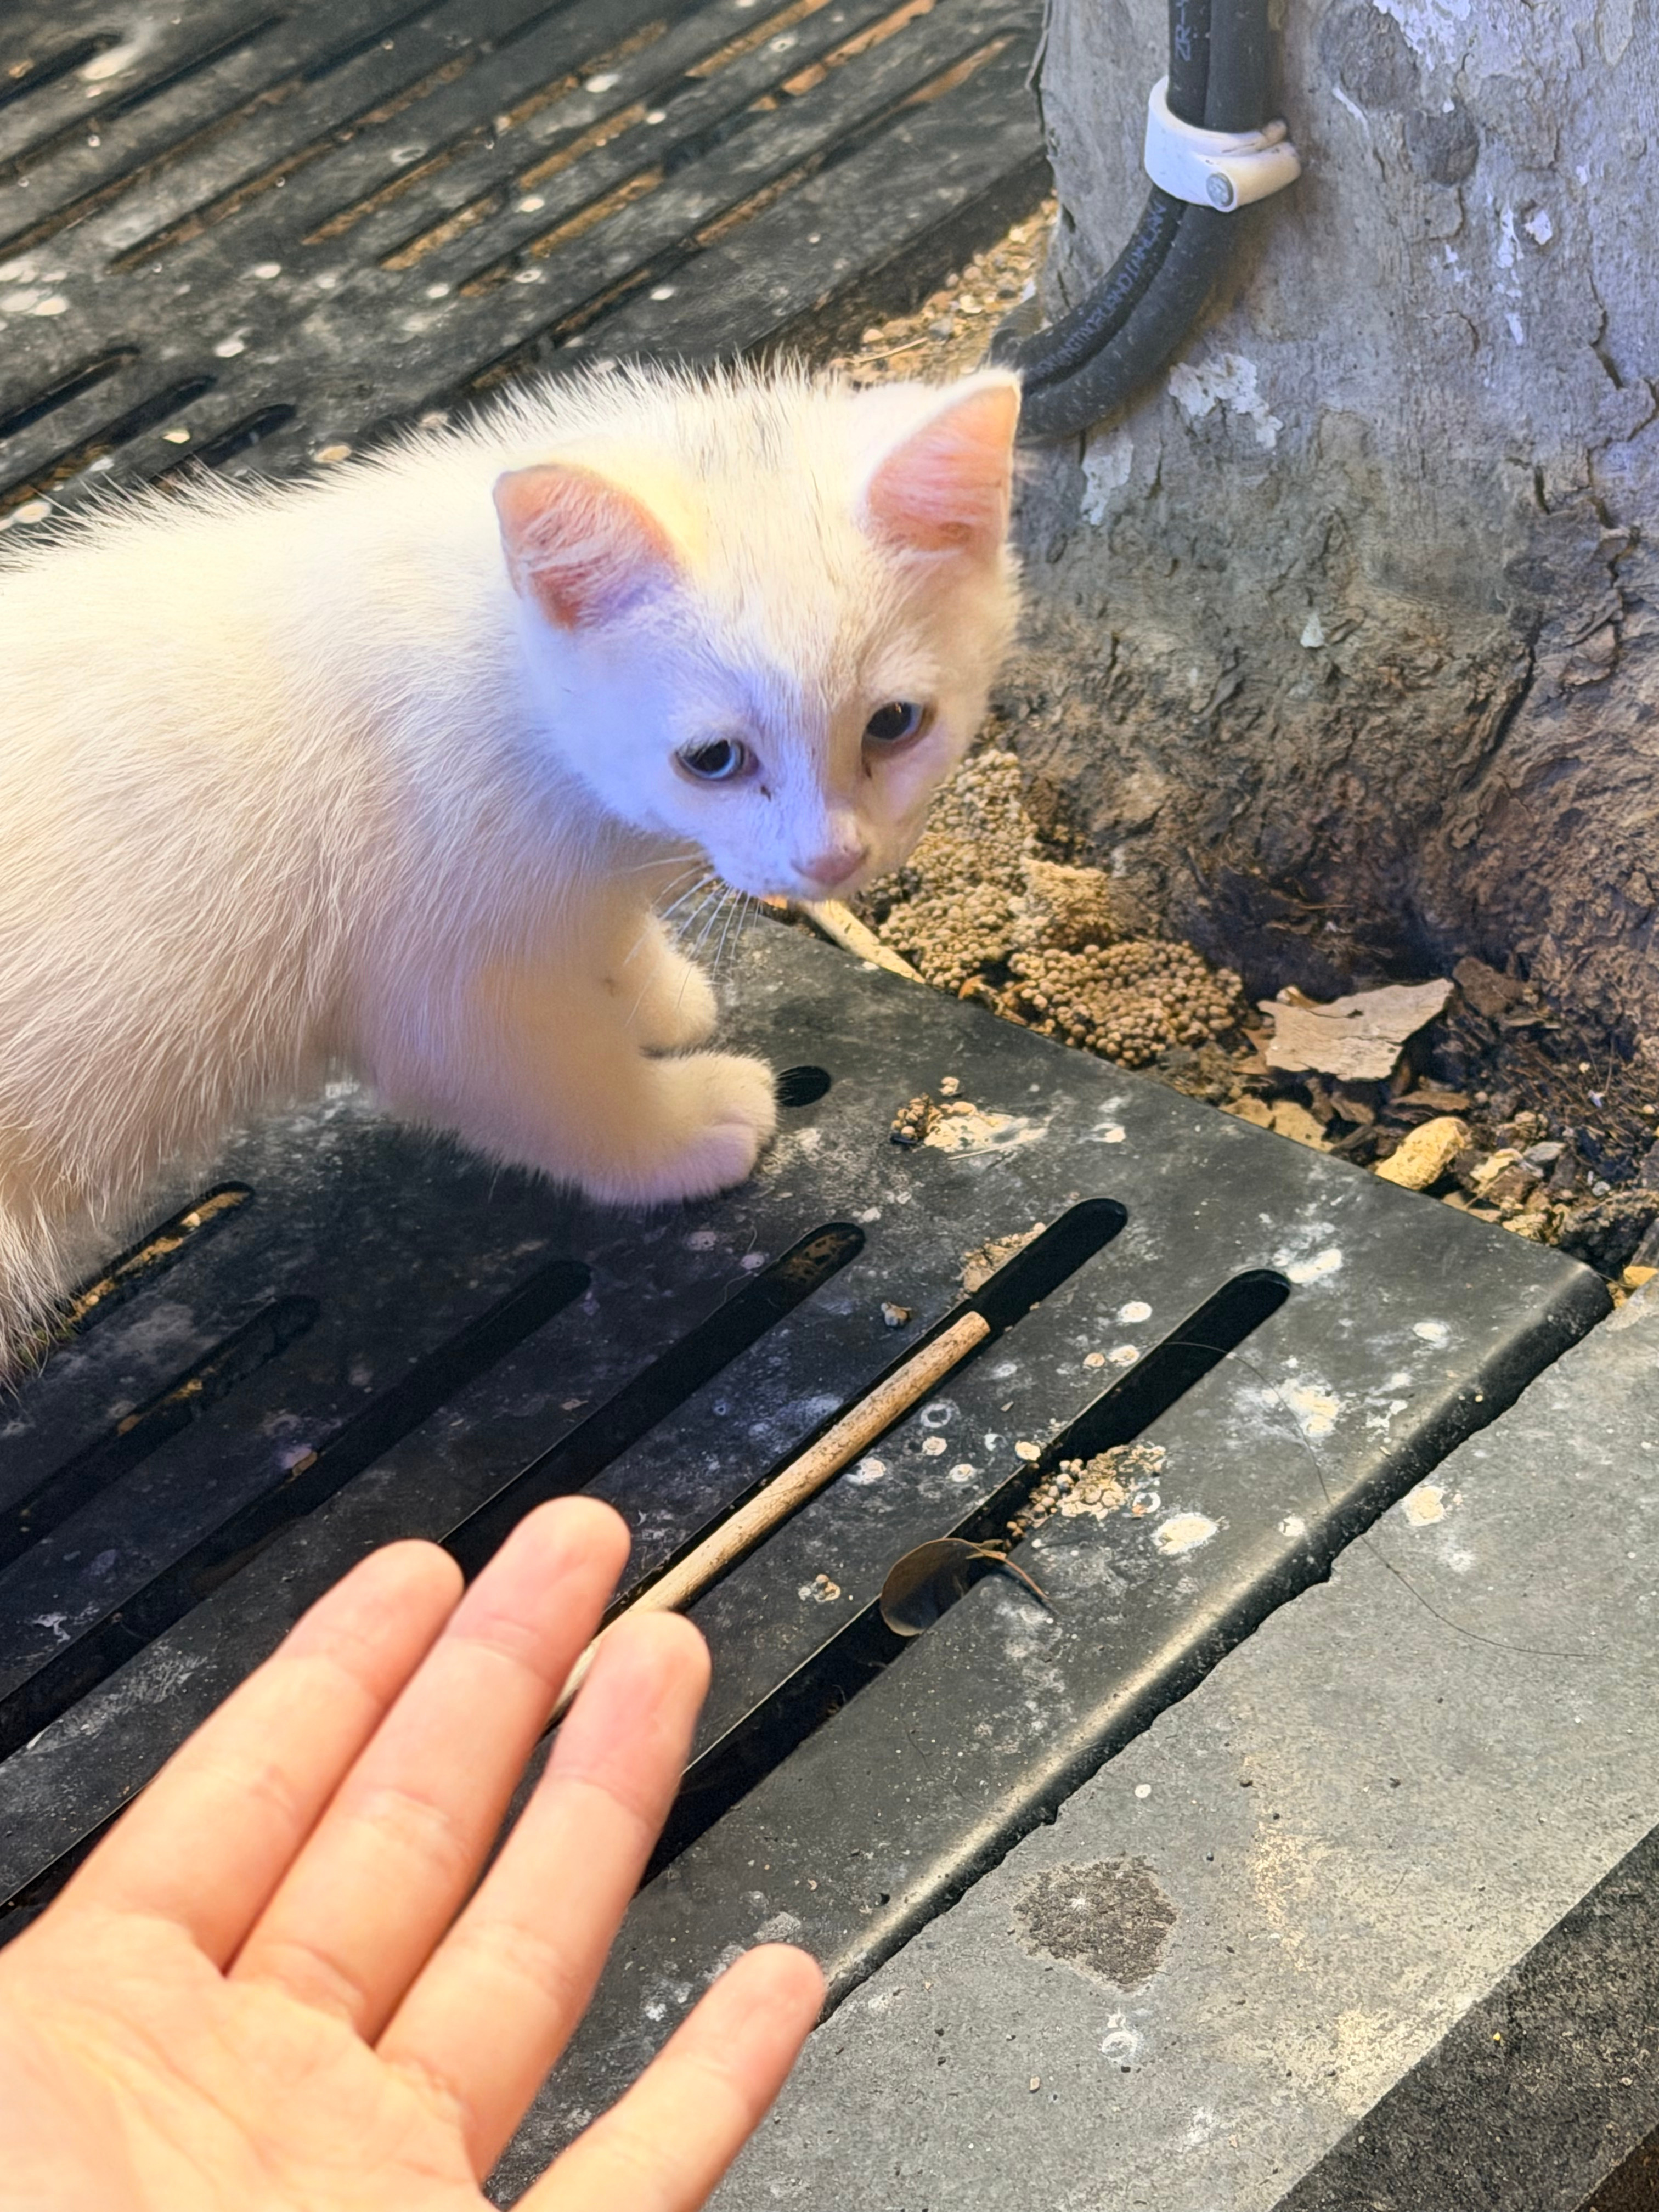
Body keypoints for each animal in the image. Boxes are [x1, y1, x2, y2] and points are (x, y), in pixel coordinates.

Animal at [0, 361, 1021, 1374]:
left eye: (895, 723)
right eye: (713, 759)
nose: (831, 858)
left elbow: (603, 941)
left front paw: (651, 995)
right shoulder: (445, 1001)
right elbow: (565, 1087)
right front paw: (682, 1127)